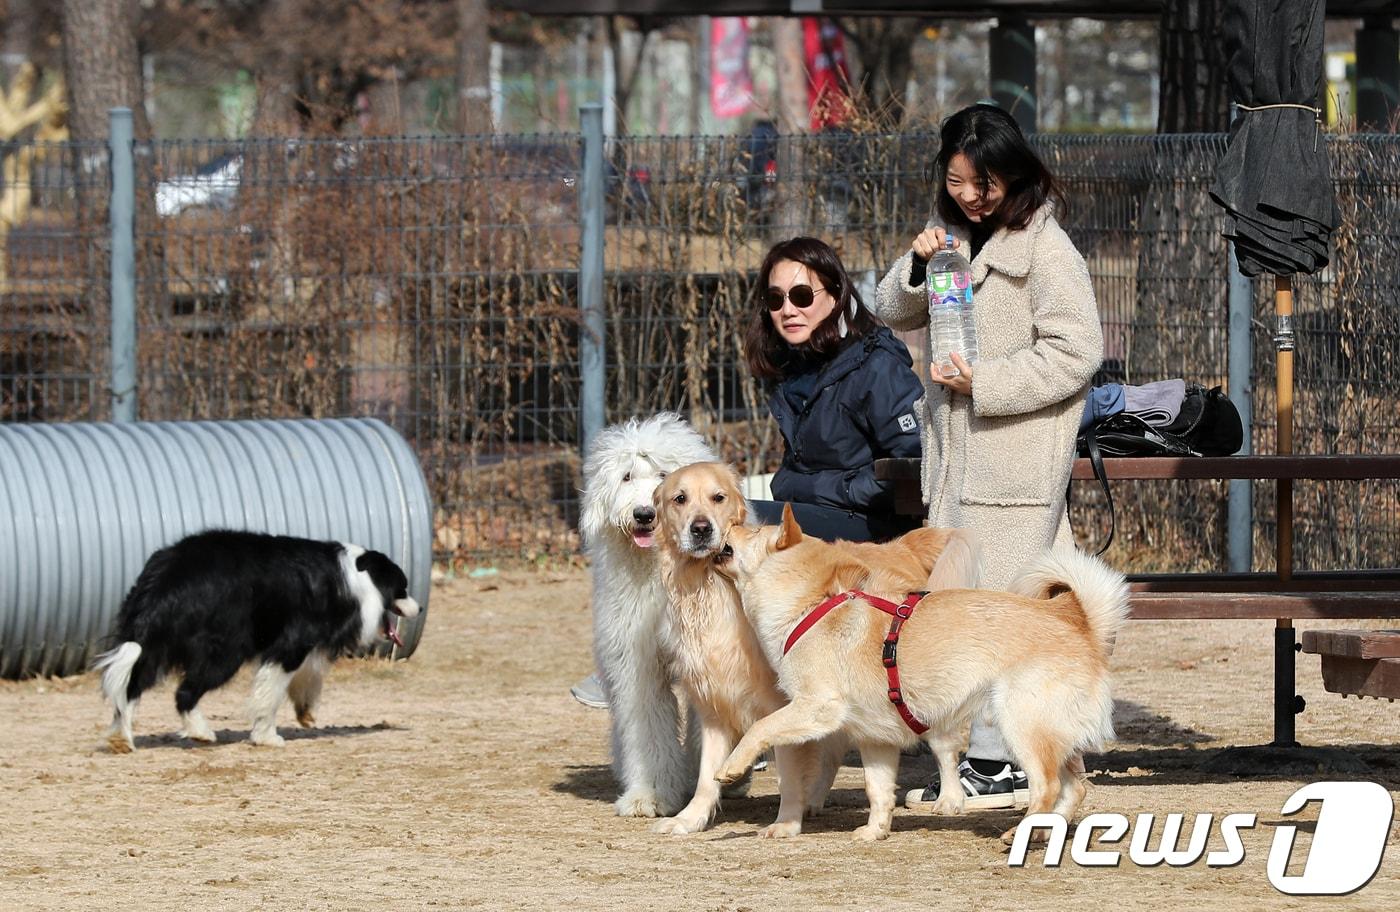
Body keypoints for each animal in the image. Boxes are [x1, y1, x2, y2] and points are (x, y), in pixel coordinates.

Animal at [579, 409, 716, 818]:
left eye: (663, 475)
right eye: (626, 476)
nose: (643, 514)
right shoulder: (638, 665)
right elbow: (648, 728)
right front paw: (649, 796)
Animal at [711, 504, 1125, 846]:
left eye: (752, 529)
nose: (729, 521)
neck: (810, 607)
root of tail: (1078, 623)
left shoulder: (816, 708)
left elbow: (760, 728)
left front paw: (729, 767)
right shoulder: (875, 739)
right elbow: (878, 790)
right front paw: (874, 832)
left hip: (1020, 725)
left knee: (1047, 785)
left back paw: (1022, 832)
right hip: (1052, 732)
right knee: (1075, 787)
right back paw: (1044, 833)